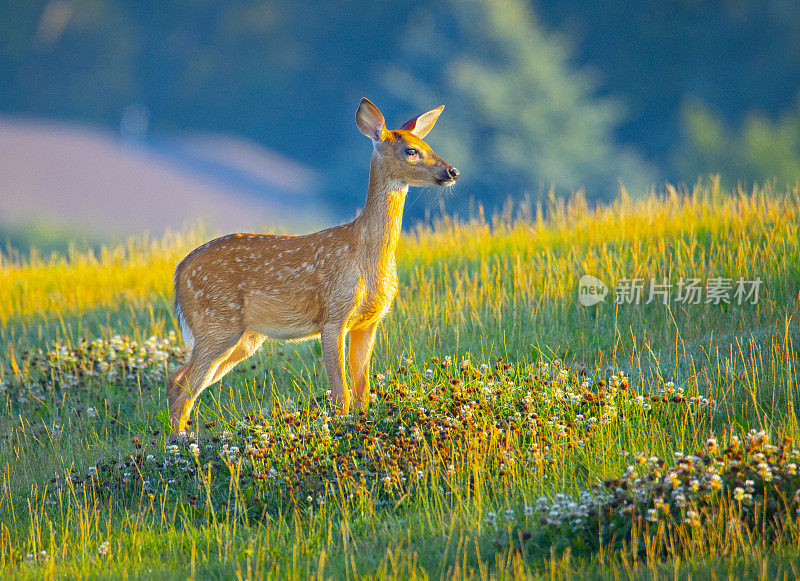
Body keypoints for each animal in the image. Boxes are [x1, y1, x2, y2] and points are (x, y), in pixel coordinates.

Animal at [166, 99, 460, 432]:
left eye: (428, 144)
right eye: (411, 150)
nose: (452, 171)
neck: (366, 257)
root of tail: (178, 271)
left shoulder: (369, 322)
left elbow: (362, 392)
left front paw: (361, 426)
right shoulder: (334, 315)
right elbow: (341, 393)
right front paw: (342, 428)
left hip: (244, 337)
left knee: (177, 380)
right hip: (216, 322)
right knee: (183, 387)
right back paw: (179, 443)